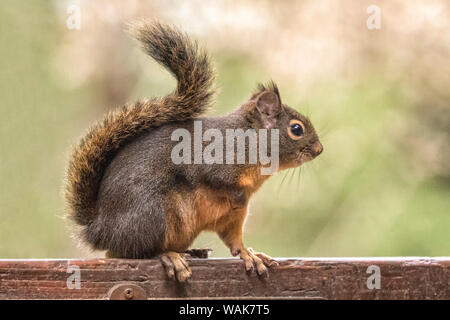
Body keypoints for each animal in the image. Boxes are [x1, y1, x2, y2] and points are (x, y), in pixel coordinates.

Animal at [64, 22, 324, 282]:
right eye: (296, 129)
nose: (319, 150)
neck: (250, 140)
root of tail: (100, 229)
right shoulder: (216, 159)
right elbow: (216, 180)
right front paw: (238, 196)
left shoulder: (233, 217)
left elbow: (235, 240)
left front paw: (249, 254)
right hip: (153, 214)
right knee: (130, 252)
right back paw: (169, 256)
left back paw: (191, 251)